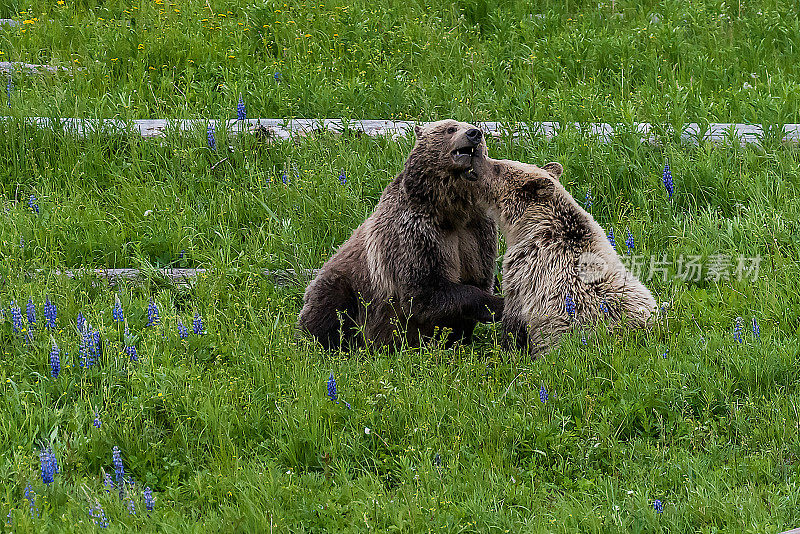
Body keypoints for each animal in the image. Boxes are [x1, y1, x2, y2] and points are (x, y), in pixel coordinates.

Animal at [296, 120, 504, 352]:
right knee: (330, 307)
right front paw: (498, 305)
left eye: (477, 129)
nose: (474, 133)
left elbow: (477, 277)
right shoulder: (413, 232)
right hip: (346, 283)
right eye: (450, 128)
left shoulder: (476, 232)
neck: (449, 209)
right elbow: (424, 290)